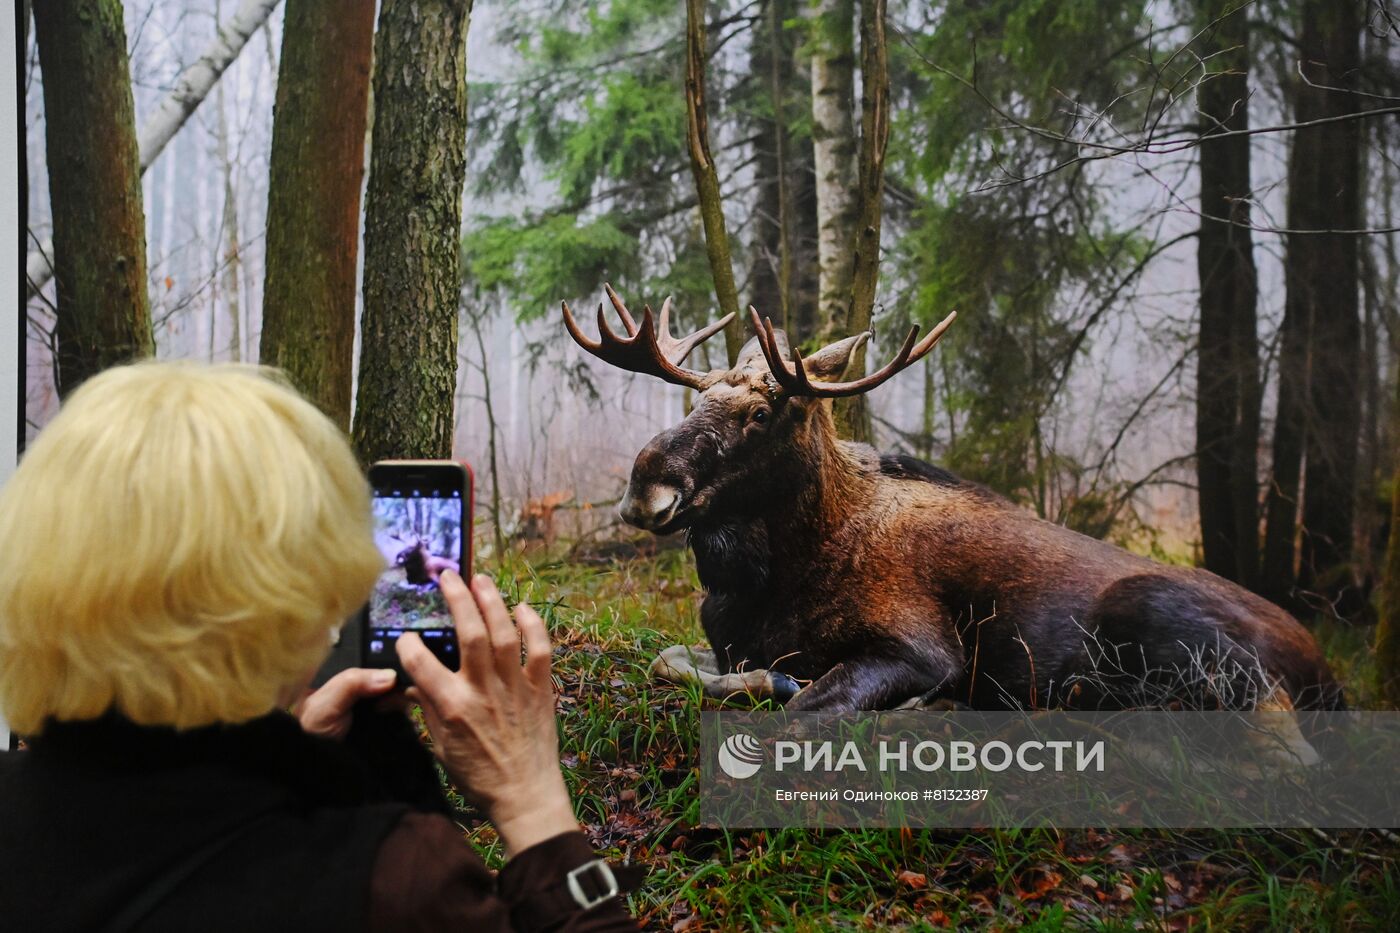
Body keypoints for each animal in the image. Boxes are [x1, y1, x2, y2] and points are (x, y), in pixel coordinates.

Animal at [565, 285, 1344, 711]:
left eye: (761, 412)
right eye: (695, 398)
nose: (645, 485)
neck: (766, 581)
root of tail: (1328, 674)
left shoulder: (923, 646)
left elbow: (809, 699)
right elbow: (672, 661)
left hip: (1157, 614)